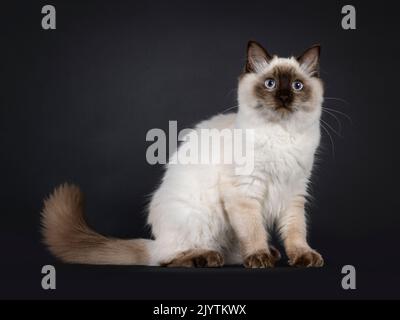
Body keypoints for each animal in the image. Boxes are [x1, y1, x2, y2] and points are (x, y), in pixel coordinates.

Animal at [40, 41, 324, 268]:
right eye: (270, 84)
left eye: (298, 86)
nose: (285, 97)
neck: (281, 135)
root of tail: (155, 240)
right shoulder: (244, 193)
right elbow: (254, 232)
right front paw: (259, 258)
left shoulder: (294, 192)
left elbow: (296, 231)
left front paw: (303, 257)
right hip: (200, 220)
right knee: (167, 258)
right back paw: (206, 258)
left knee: (227, 253)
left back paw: (270, 253)